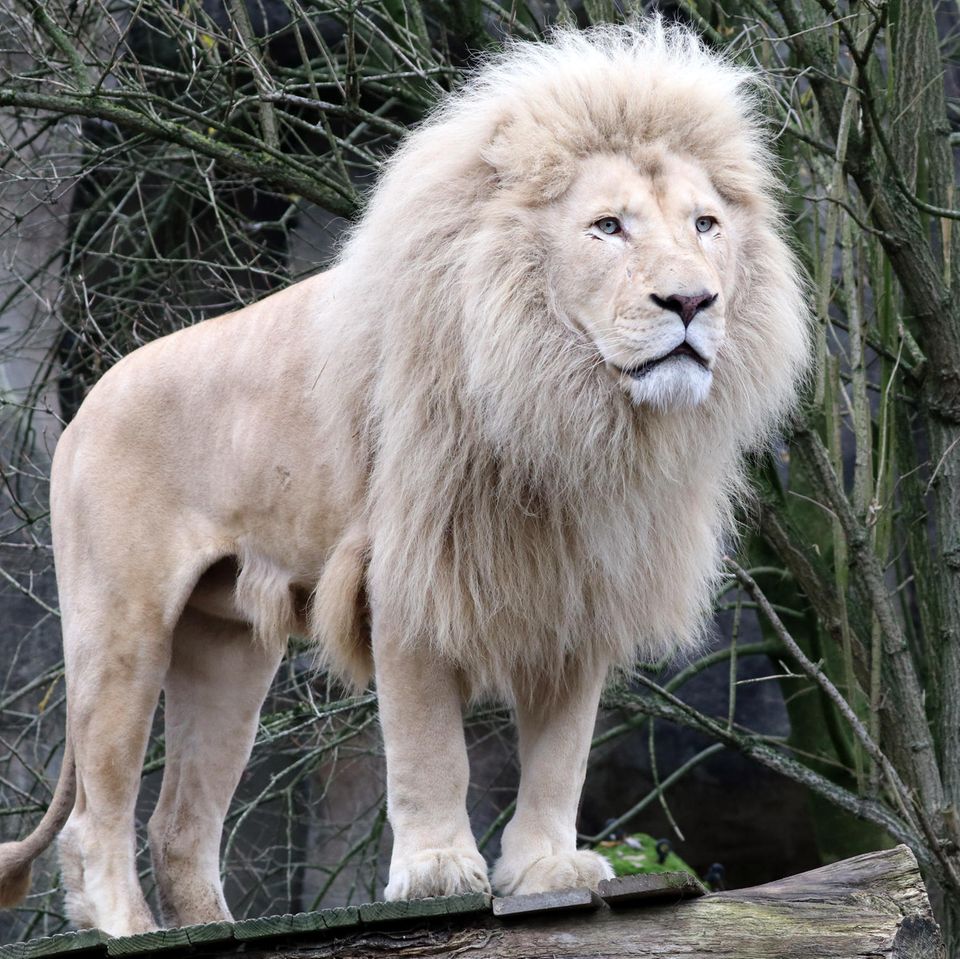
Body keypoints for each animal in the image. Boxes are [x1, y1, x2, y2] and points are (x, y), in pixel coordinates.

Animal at [0, 21, 809, 936]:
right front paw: (437, 870)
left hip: (228, 649)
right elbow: (430, 748)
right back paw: (125, 927)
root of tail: (86, 406)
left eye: (706, 224)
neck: (570, 407)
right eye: (607, 226)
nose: (693, 301)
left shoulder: (576, 586)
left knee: (180, 820)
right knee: (95, 813)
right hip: (123, 624)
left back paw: (211, 923)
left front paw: (545, 868)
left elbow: (560, 753)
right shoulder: (411, 574)